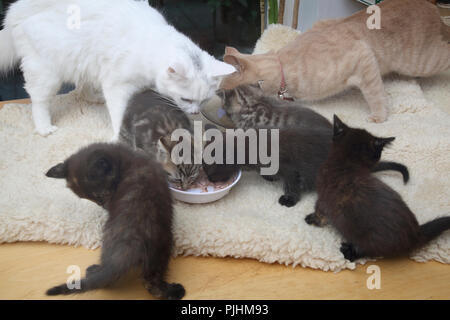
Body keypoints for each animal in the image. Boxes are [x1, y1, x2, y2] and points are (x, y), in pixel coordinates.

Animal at [0, 0, 232, 138]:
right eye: (186, 99)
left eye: (204, 101)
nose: (195, 112)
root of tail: (14, 11)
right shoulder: (117, 85)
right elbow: (119, 113)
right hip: (47, 71)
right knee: (38, 100)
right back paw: (44, 128)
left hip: (86, 61)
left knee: (82, 87)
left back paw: (94, 98)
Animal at [44, 143, 185, 300]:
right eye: (92, 199)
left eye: (101, 195)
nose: (104, 206)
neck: (124, 160)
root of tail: (130, 244)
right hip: (161, 247)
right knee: (150, 283)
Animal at [221, 0, 450, 122]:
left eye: (223, 93)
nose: (222, 110)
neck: (284, 67)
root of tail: (432, 8)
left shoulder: (363, 56)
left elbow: (375, 94)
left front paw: (379, 116)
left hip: (424, 61)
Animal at [306, 116, 450, 262]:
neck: (346, 163)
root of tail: (416, 234)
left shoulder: (323, 198)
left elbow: (319, 213)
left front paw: (312, 219)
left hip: (370, 241)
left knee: (369, 251)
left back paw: (350, 252)